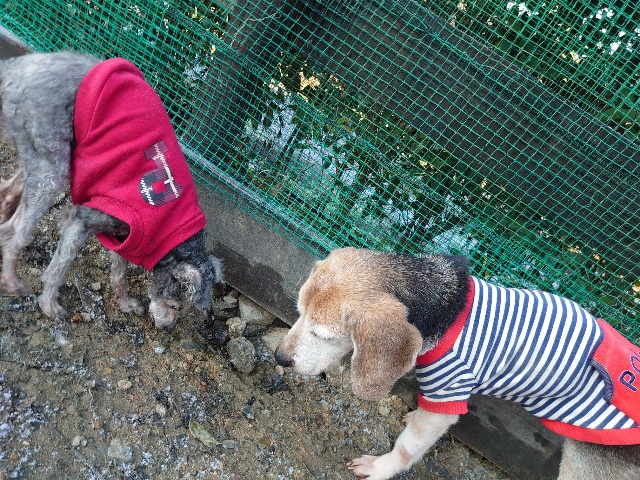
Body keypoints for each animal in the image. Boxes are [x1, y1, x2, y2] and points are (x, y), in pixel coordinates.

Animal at [0, 51, 224, 330]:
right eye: (175, 306)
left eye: (181, 310)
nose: (167, 328)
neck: (169, 222)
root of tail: (17, 66)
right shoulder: (83, 221)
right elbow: (58, 268)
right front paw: (49, 305)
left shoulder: (126, 236)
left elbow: (119, 273)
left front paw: (125, 303)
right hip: (52, 160)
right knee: (16, 228)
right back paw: (12, 279)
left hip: (53, 155)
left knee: (10, 190)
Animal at [275, 247, 640, 479]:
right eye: (299, 312)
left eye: (321, 333)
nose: (279, 357)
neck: (444, 308)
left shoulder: (447, 392)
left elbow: (408, 446)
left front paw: (381, 468)